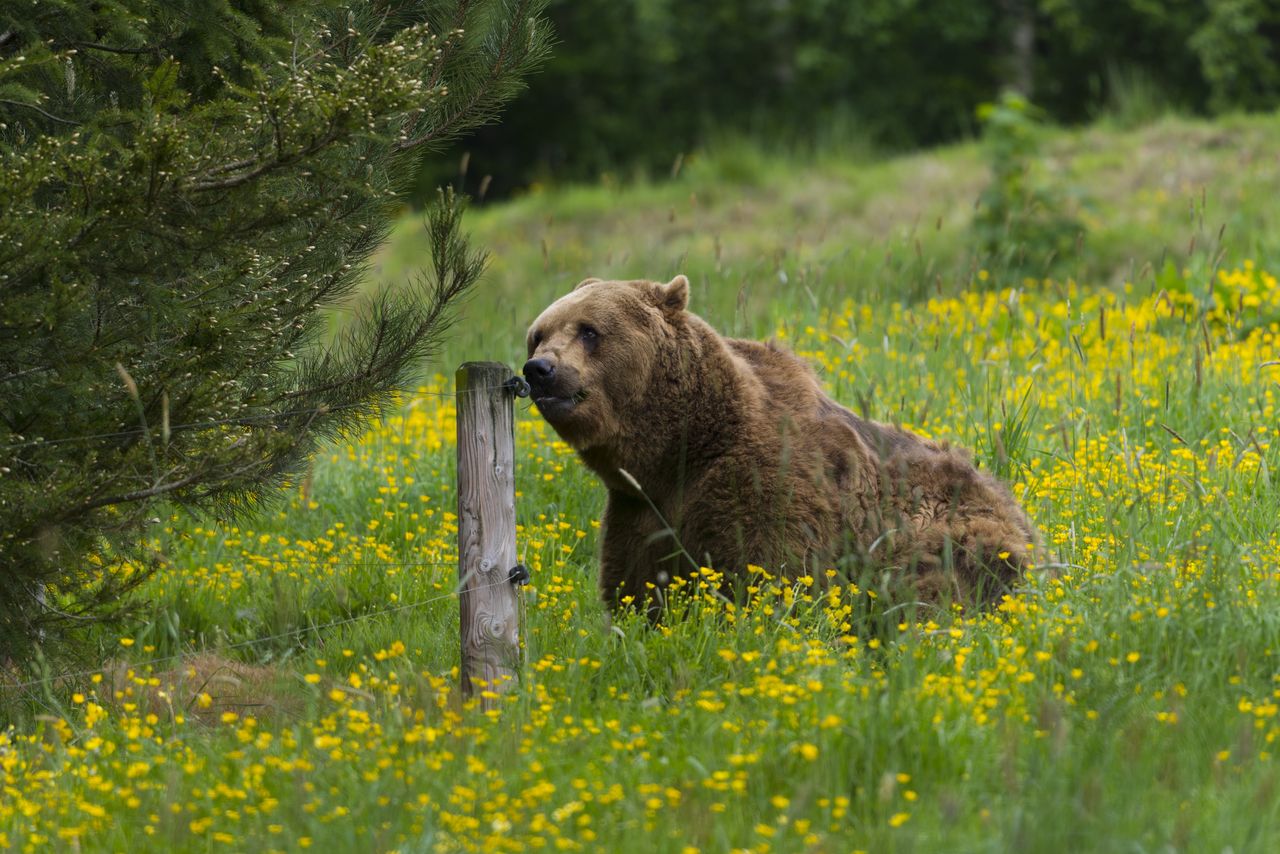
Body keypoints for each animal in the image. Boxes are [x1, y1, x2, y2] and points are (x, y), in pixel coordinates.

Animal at [524, 277, 1034, 612]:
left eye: (589, 330)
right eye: (538, 334)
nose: (540, 369)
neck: (679, 450)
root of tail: (1013, 502)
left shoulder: (765, 483)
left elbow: (770, 573)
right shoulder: (640, 509)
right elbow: (637, 586)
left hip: (948, 524)